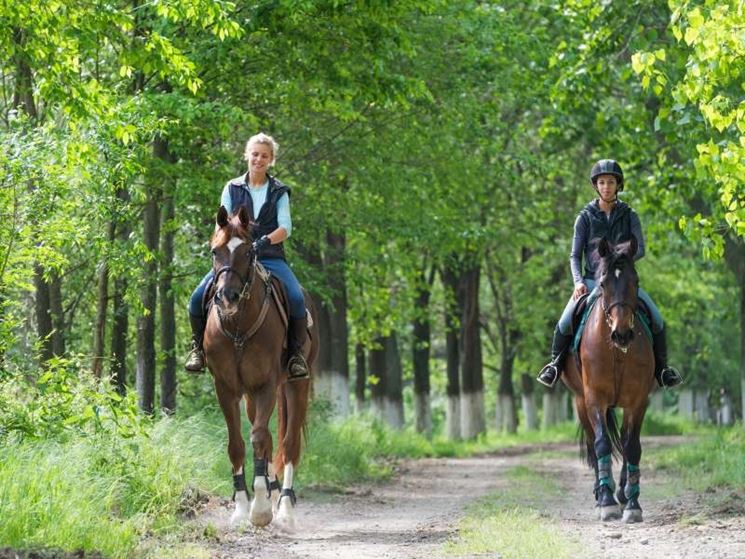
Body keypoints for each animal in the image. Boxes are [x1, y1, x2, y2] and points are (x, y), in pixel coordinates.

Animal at [203, 206, 316, 528]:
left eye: (248, 252)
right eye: (215, 251)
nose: (227, 297)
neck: (238, 326)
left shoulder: (267, 385)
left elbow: (259, 437)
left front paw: (262, 509)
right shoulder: (226, 388)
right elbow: (237, 443)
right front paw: (242, 508)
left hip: (295, 384)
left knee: (289, 444)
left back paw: (285, 510)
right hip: (251, 395)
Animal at [560, 237, 652, 524]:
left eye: (636, 281)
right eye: (602, 284)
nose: (621, 334)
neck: (616, 353)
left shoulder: (638, 401)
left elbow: (632, 447)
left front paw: (632, 504)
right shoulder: (594, 399)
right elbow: (601, 444)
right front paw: (607, 503)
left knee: (623, 439)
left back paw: (622, 492)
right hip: (580, 402)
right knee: (593, 443)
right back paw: (602, 493)